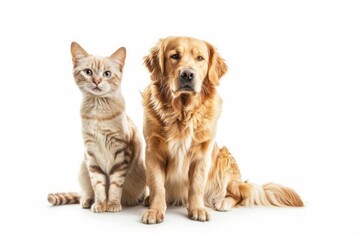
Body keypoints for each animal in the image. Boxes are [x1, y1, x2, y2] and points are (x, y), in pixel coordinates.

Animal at [47, 42, 146, 213]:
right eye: (88, 72)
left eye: (107, 73)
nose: (97, 81)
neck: (98, 113)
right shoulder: (91, 153)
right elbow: (98, 184)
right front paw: (100, 204)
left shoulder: (121, 152)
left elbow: (115, 184)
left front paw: (112, 204)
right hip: (82, 167)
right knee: (86, 192)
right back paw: (86, 200)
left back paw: (132, 201)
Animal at [141, 36, 304, 224]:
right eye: (174, 56)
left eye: (200, 58)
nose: (188, 74)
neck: (182, 114)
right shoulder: (153, 151)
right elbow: (157, 186)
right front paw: (155, 210)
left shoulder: (202, 153)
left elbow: (196, 185)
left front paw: (197, 209)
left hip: (224, 160)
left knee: (240, 195)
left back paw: (222, 202)